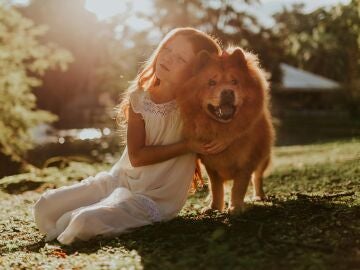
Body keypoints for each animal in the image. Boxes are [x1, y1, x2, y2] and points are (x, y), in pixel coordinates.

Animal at [176, 47, 274, 213]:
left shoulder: (246, 162)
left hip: (263, 156)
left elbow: (239, 187)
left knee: (257, 177)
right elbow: (216, 188)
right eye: (211, 82)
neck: (222, 128)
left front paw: (235, 207)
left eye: (234, 82)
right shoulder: (211, 164)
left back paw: (259, 196)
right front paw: (214, 207)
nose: (227, 91)